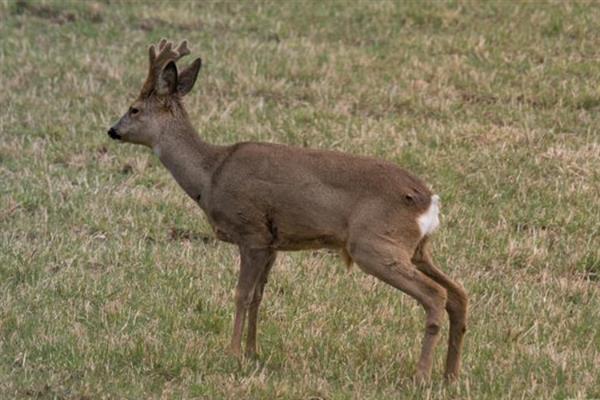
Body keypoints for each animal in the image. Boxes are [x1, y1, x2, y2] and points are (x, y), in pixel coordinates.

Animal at [108, 39, 468, 382]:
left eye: (134, 108)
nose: (112, 130)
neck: (210, 175)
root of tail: (429, 200)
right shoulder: (273, 242)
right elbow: (258, 295)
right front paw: (253, 352)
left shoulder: (251, 232)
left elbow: (241, 293)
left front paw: (232, 353)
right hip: (416, 249)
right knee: (458, 294)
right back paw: (450, 375)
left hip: (374, 243)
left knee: (435, 294)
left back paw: (422, 376)